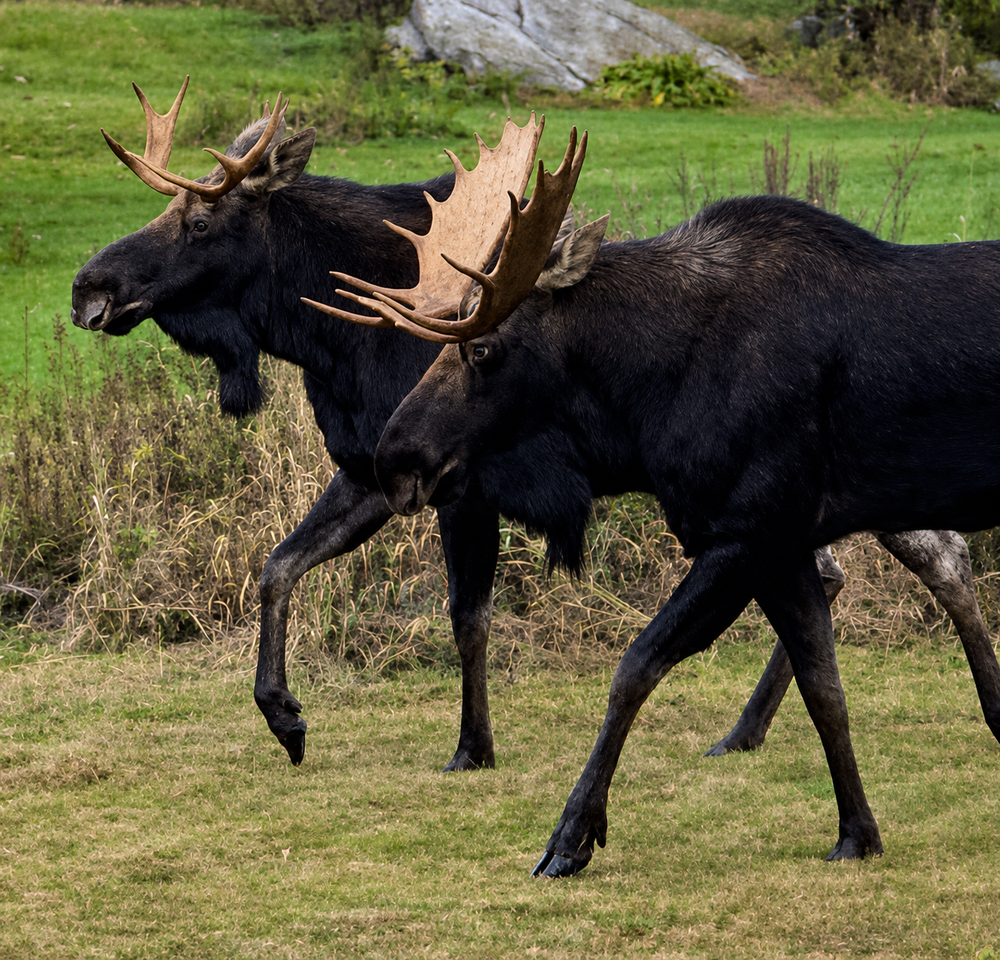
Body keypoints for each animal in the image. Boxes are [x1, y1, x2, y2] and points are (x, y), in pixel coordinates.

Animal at [315, 128, 1000, 875]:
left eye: (484, 348)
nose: (392, 459)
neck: (645, 405)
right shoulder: (775, 541)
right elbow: (825, 688)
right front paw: (859, 831)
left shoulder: (748, 531)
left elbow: (636, 665)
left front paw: (571, 836)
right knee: (947, 566)